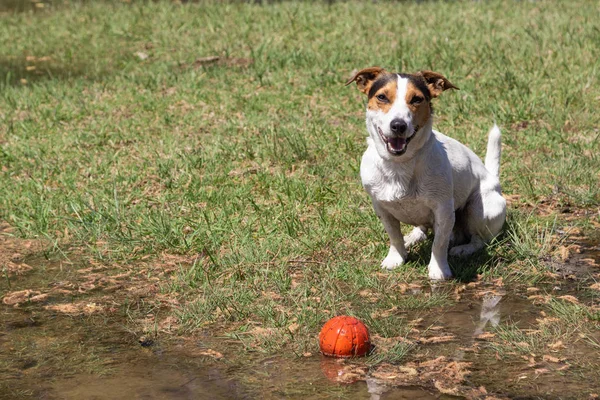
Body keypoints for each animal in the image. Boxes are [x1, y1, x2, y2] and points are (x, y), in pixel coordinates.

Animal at [346, 67, 506, 280]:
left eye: (417, 99)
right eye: (381, 97)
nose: (398, 125)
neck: (400, 165)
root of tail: (492, 176)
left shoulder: (444, 209)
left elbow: (439, 244)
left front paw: (438, 270)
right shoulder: (381, 207)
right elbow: (394, 236)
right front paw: (396, 258)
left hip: (479, 209)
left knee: (479, 240)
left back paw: (463, 249)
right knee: (421, 228)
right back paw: (413, 237)